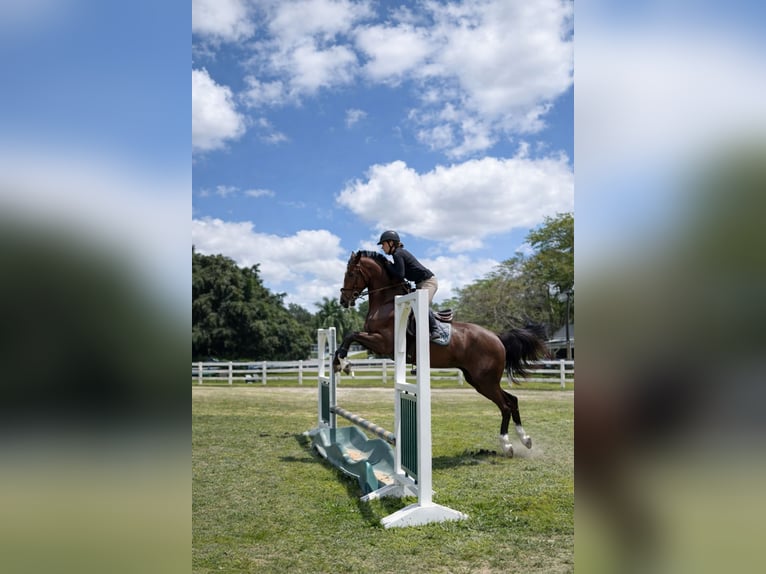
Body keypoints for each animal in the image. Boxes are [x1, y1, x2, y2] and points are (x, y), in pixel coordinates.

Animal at [333, 250, 549, 456]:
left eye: (350, 274)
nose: (343, 300)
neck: (386, 303)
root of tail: (497, 337)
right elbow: (348, 338)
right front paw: (338, 363)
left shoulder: (383, 343)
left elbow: (351, 335)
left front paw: (345, 364)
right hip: (478, 380)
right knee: (512, 400)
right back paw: (525, 439)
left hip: (486, 380)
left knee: (505, 405)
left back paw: (507, 444)